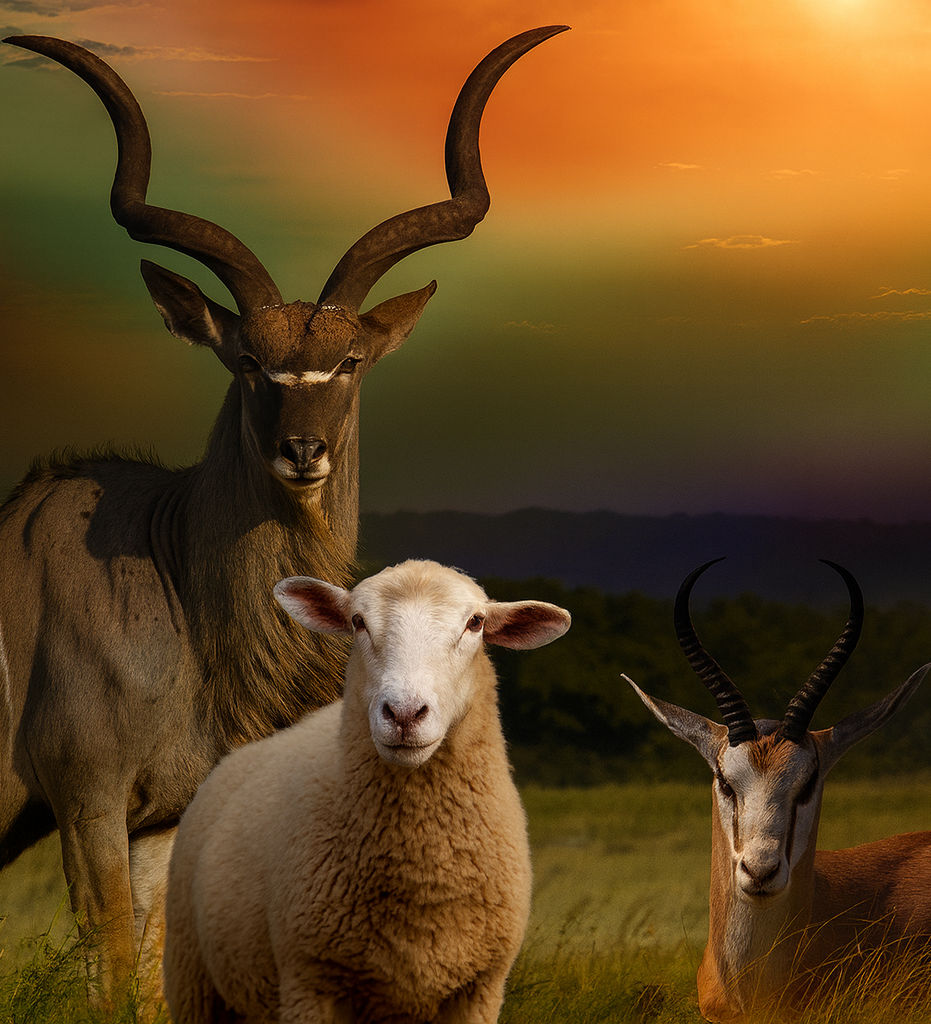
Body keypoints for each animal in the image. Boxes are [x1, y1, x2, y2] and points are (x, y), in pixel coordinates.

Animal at [163, 560, 571, 1023]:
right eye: (358, 621)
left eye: (476, 622)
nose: (405, 713)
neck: (422, 871)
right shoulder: (309, 982)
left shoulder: (479, 990)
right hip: (192, 978)